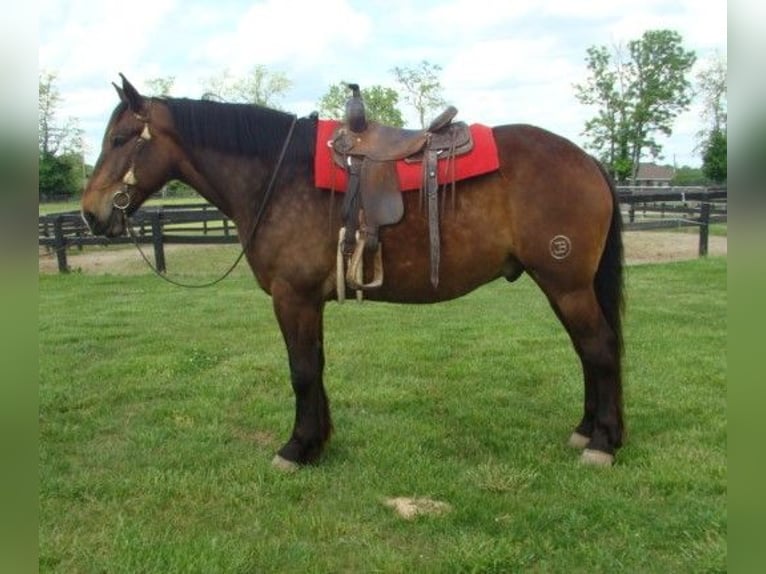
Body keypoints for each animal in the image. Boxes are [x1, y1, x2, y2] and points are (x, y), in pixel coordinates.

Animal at [81, 76, 628, 470]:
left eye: (121, 138)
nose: (90, 213)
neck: (278, 175)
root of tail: (587, 159)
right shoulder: (307, 300)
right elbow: (316, 366)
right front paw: (319, 442)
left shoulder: (292, 296)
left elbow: (301, 370)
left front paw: (296, 449)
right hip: (561, 285)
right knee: (587, 351)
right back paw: (588, 429)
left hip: (567, 284)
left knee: (599, 348)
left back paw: (603, 443)